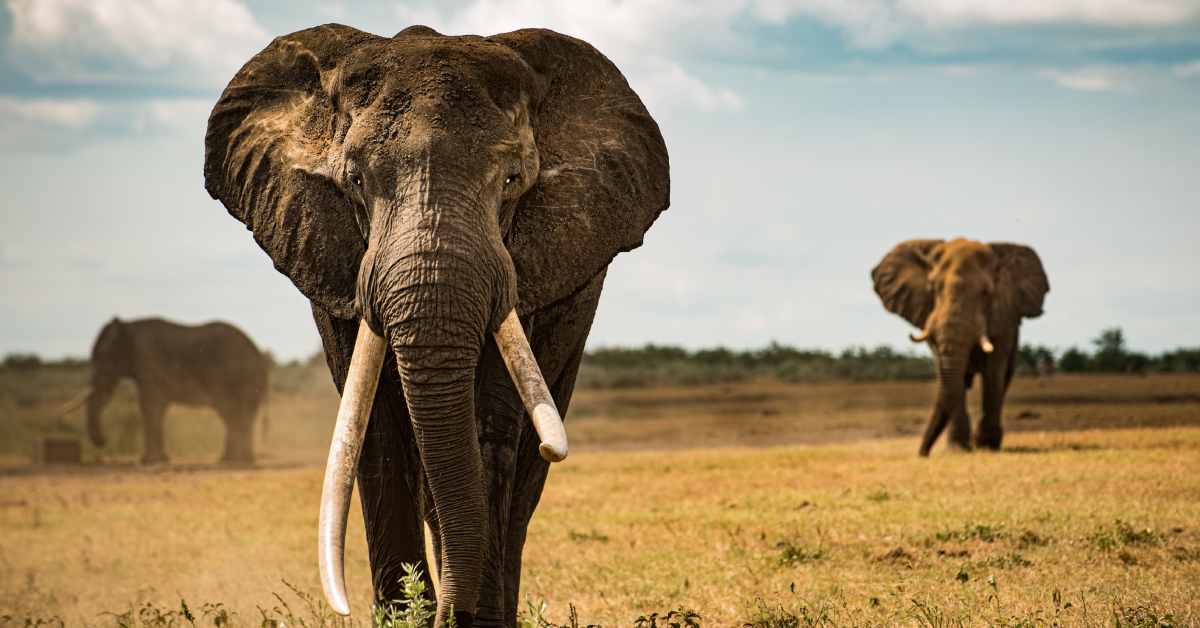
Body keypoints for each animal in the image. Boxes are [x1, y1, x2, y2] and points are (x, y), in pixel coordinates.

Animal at [63, 317, 268, 464]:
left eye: (103, 355)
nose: (104, 441)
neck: (129, 326)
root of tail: (258, 352)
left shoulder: (151, 362)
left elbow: (149, 406)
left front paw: (150, 461)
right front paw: (155, 460)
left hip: (240, 378)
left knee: (234, 413)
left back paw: (234, 460)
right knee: (233, 415)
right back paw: (231, 460)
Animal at [871, 238, 1049, 456]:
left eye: (985, 292)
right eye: (932, 289)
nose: (923, 454)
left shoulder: (1004, 317)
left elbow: (994, 370)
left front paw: (986, 445)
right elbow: (948, 374)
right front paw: (957, 450)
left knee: (1003, 377)